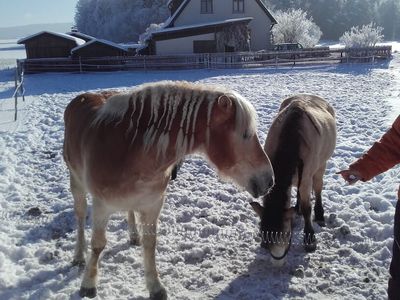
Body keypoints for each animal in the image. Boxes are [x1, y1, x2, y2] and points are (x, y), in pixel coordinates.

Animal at [63, 79, 276, 298]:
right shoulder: (102, 206)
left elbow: (150, 244)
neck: (131, 147)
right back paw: (78, 256)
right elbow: (98, 245)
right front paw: (88, 284)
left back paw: (133, 236)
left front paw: (155, 287)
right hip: (76, 183)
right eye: (245, 134)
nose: (269, 180)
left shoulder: (152, 204)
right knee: (80, 217)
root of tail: (82, 98)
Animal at [252, 95, 336, 262]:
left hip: (320, 165)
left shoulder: (307, 176)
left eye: (287, 233)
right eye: (262, 233)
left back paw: (319, 214)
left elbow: (307, 208)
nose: (278, 257)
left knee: (318, 187)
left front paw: (310, 239)